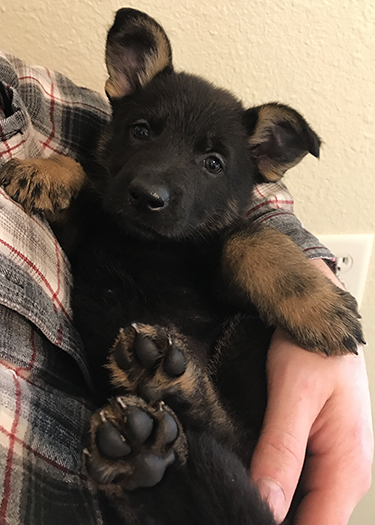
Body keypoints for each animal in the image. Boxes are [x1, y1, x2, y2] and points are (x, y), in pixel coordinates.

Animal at [0, 9, 364, 524]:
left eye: (213, 163)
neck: (145, 242)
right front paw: (45, 172)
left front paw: (319, 305)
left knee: (228, 436)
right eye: (141, 131)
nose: (147, 197)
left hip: (242, 332)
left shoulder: (214, 265)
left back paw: (160, 394)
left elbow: (250, 237)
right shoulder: (82, 233)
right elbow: (86, 179)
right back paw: (143, 446)